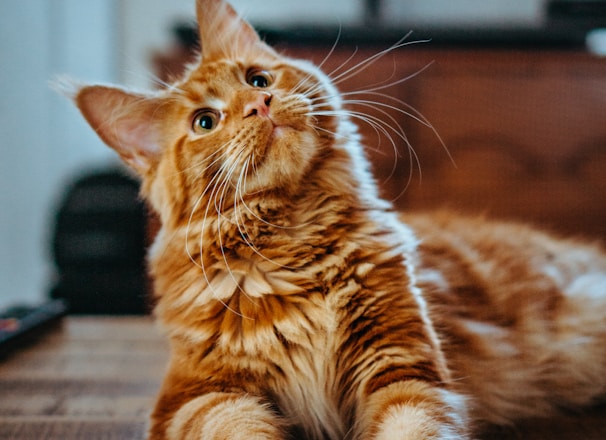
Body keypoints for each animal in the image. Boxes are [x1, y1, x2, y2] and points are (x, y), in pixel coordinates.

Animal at [65, 0, 606, 438]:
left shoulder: (402, 368)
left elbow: (414, 428)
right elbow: (238, 427)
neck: (294, 245)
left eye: (258, 79)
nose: (259, 104)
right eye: (205, 122)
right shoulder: (199, 396)